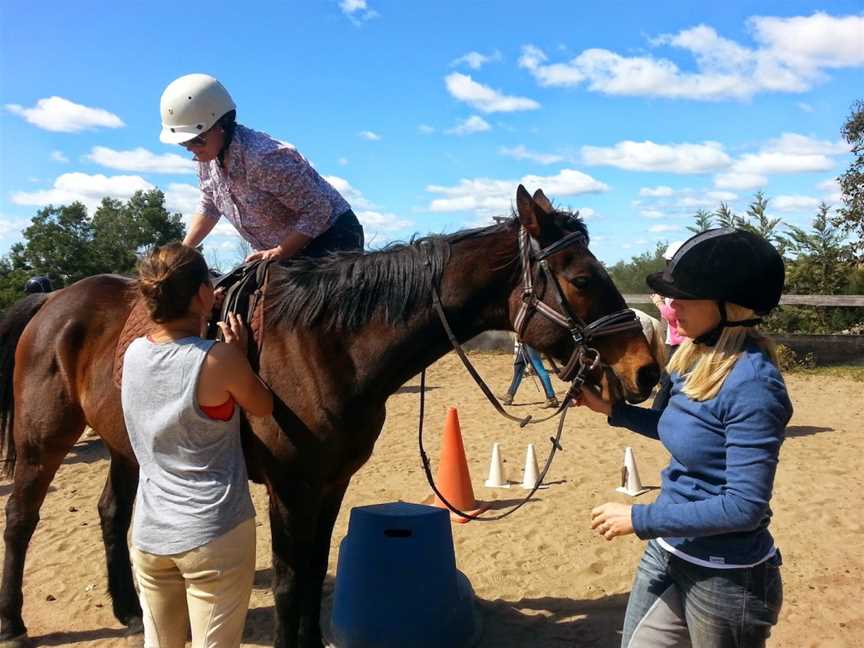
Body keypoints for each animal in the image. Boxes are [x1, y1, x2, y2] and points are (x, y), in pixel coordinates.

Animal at [1, 185, 660, 644]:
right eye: (582, 277)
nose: (646, 371)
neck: (327, 342)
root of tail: (53, 300)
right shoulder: (290, 487)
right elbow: (291, 580)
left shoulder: (332, 481)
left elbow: (316, 567)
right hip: (42, 441)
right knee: (21, 519)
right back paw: (14, 623)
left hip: (126, 445)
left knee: (112, 512)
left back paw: (128, 609)